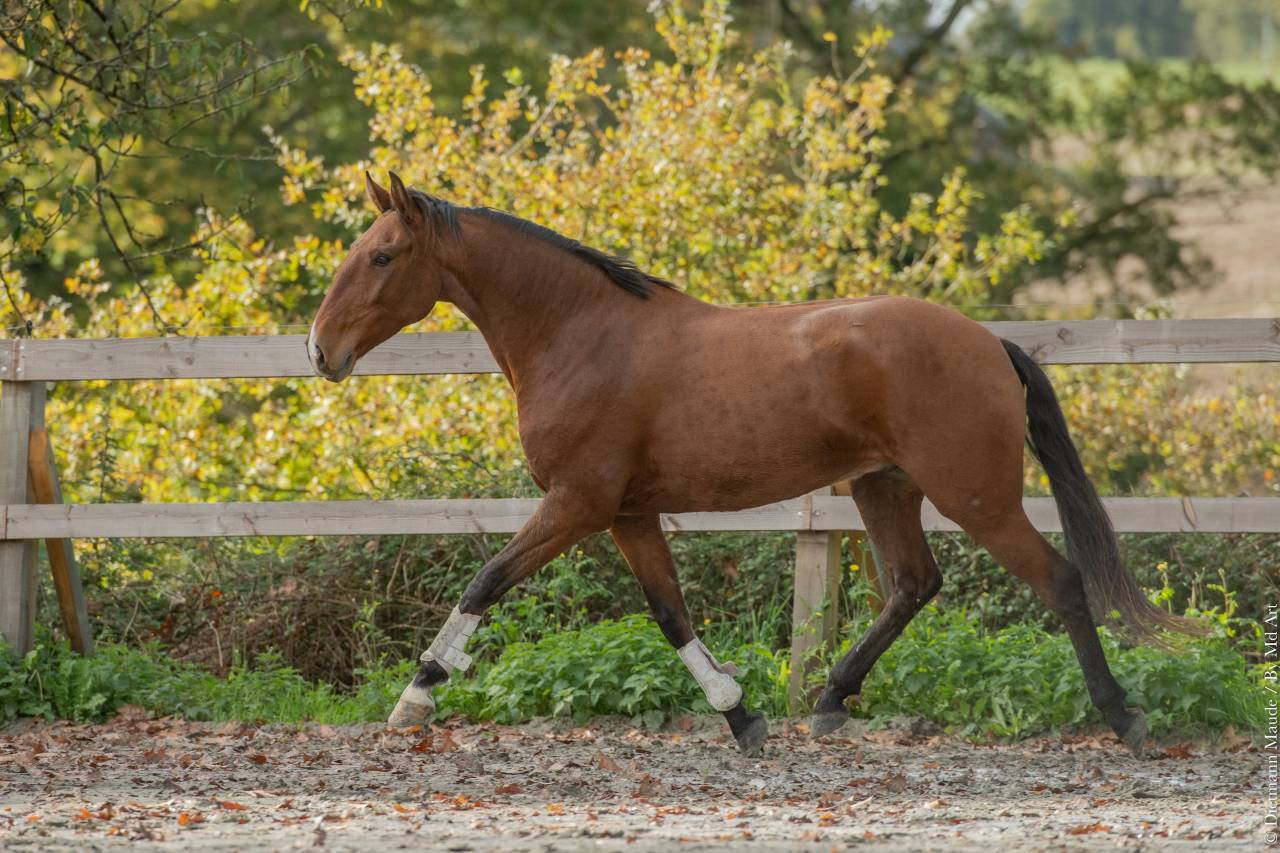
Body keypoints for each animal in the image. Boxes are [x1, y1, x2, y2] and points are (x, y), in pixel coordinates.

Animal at [305, 172, 1197, 755]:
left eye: (383, 256)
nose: (321, 351)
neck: (580, 332)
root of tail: (989, 341)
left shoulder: (577, 502)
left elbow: (486, 580)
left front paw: (414, 698)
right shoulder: (625, 512)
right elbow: (670, 613)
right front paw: (741, 716)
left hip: (977, 497)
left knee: (1060, 580)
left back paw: (1125, 718)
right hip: (883, 487)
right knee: (913, 583)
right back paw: (831, 699)